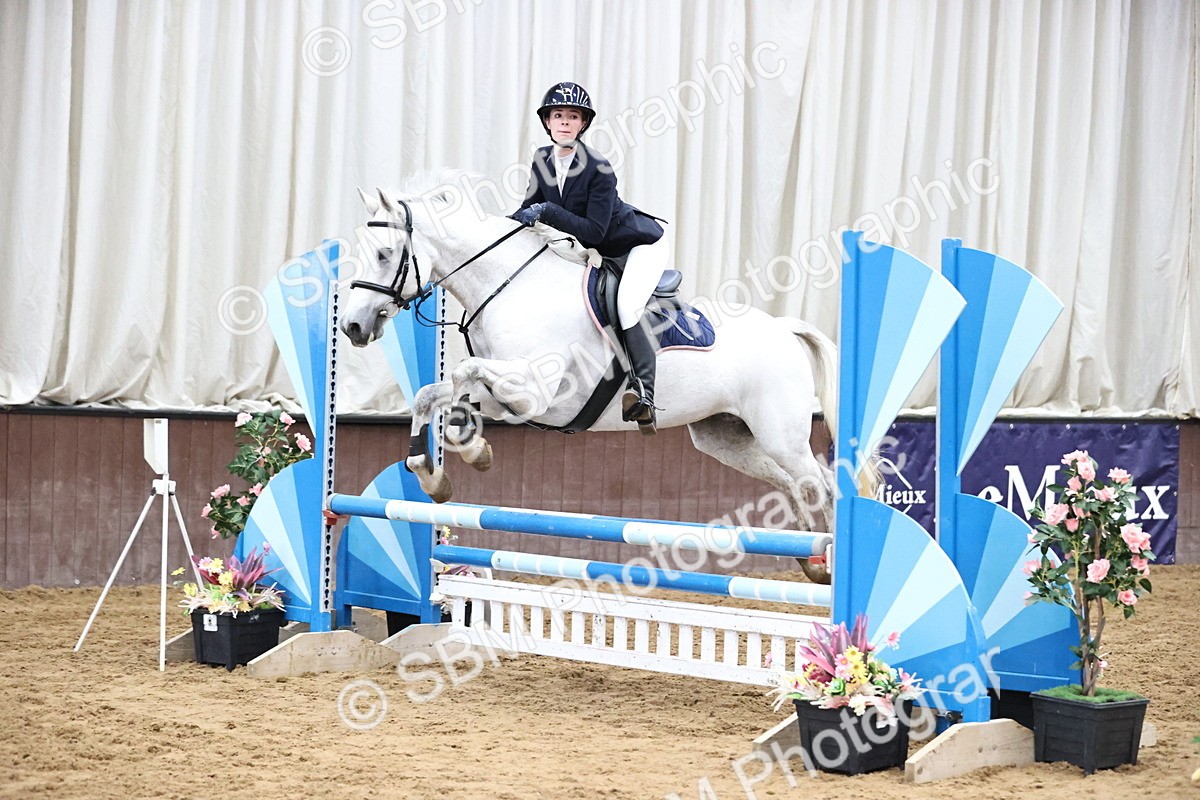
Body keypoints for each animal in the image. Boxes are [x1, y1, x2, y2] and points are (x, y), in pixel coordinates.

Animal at [340, 171, 846, 582]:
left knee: (819, 483)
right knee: (795, 482)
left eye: (384, 254)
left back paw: (829, 564)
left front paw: (473, 450)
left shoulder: (535, 393)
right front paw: (432, 473)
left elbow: (464, 373)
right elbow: (432, 394)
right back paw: (809, 559)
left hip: (778, 433)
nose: (351, 327)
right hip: (725, 436)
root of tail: (784, 328)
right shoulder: (506, 394)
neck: (508, 285)